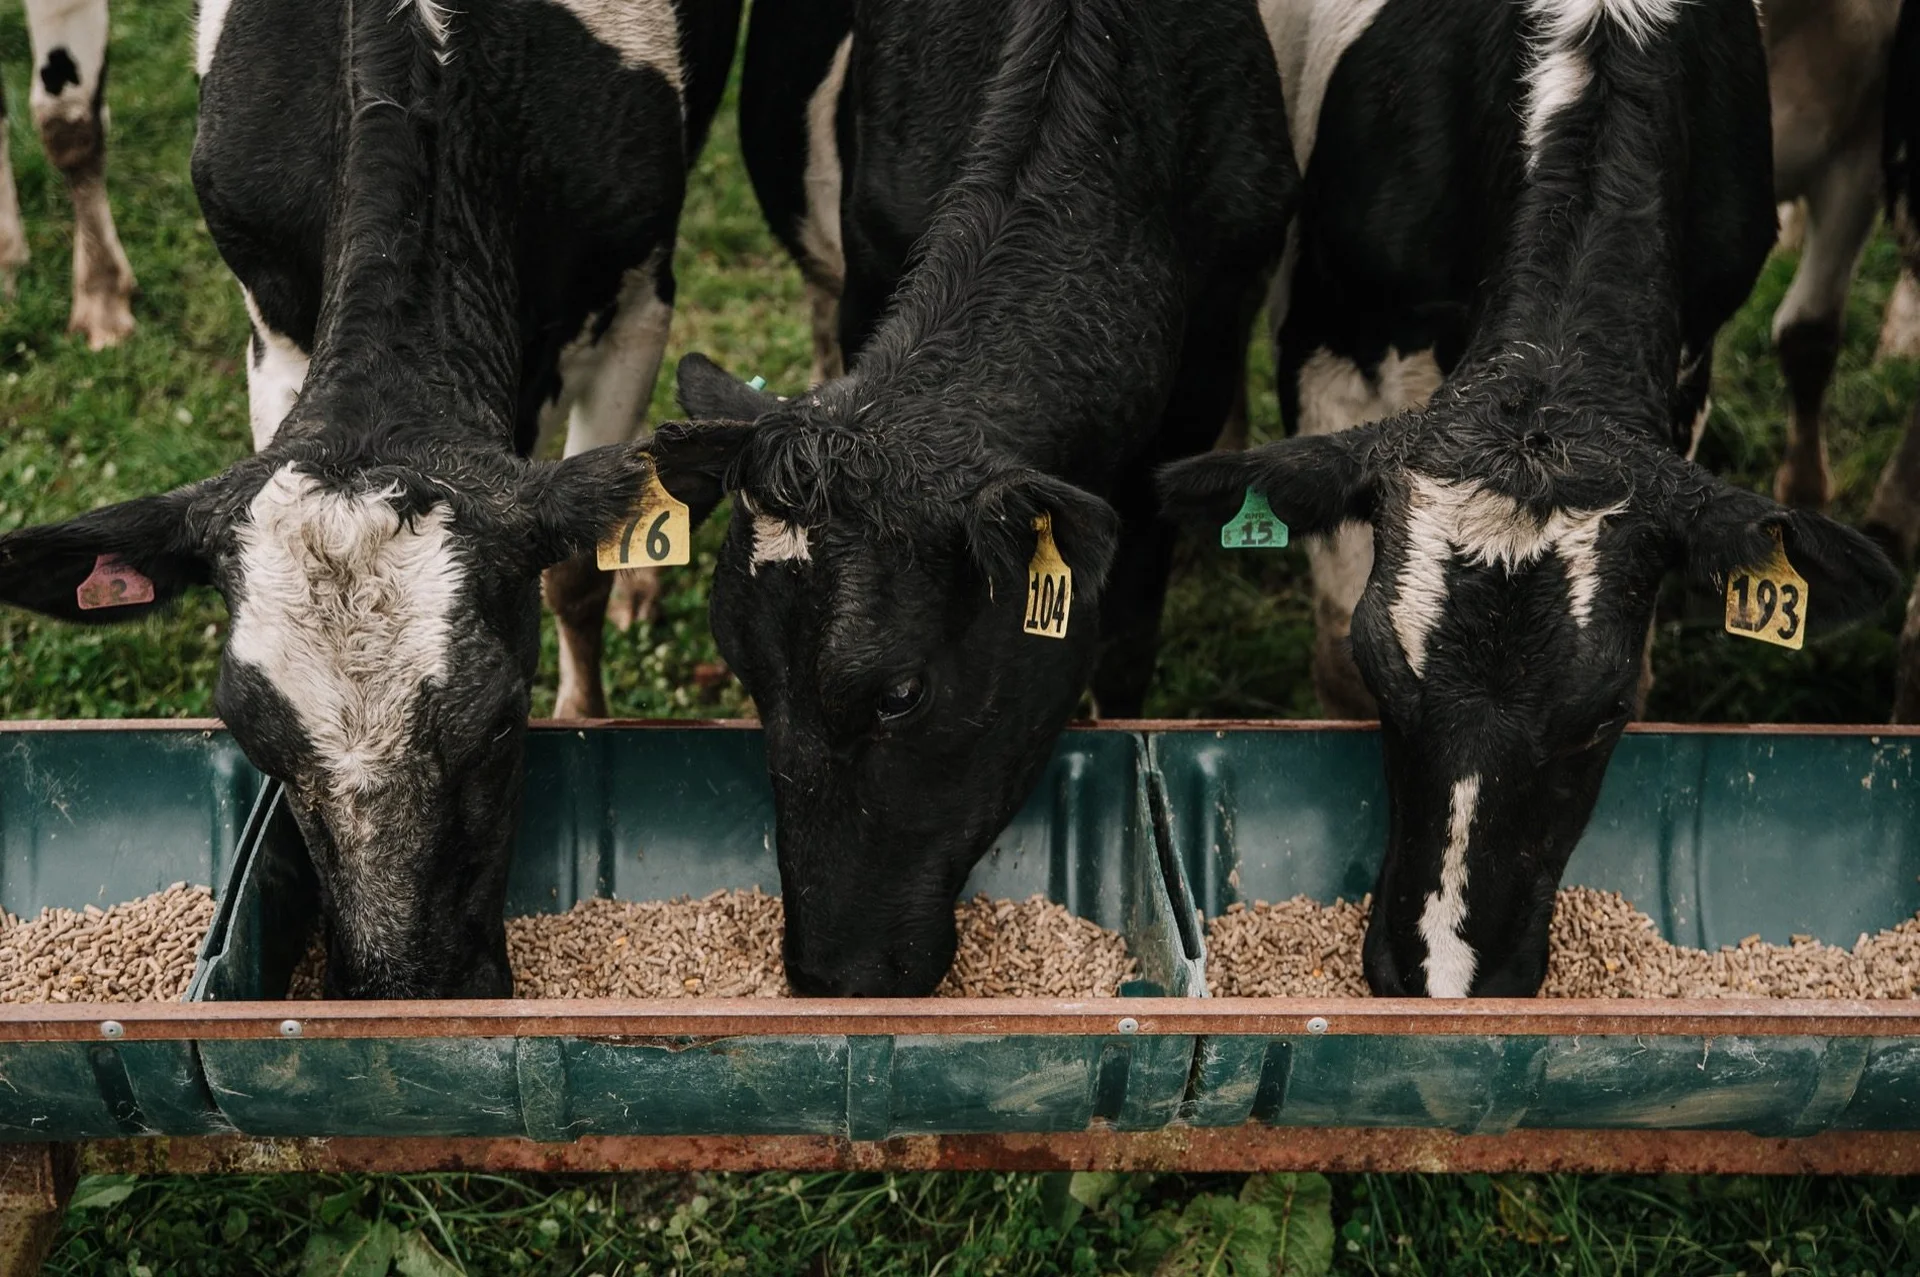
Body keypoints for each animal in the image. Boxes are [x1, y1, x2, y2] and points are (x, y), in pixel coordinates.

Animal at [660, 0, 1298, 996]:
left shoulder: (1205, 362)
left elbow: (1127, 644)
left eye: (900, 694)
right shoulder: (871, 257)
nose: (827, 974)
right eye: (744, 671)